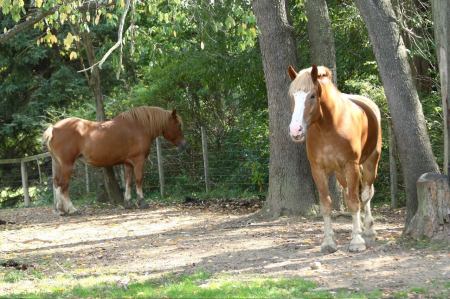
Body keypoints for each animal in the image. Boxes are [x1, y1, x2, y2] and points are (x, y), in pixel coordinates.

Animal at [44, 105, 186, 216]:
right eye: (178, 125)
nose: (184, 144)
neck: (139, 126)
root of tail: (54, 128)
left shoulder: (128, 163)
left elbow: (128, 181)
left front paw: (128, 202)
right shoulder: (138, 161)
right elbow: (139, 179)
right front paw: (142, 201)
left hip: (58, 164)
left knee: (57, 183)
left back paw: (60, 210)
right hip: (67, 165)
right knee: (63, 185)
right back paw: (72, 209)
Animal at [288, 65, 380, 253]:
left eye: (312, 96)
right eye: (292, 96)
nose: (295, 130)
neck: (330, 126)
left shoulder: (351, 166)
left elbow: (354, 202)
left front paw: (357, 241)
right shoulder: (318, 170)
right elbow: (326, 204)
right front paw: (329, 242)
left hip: (370, 162)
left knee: (365, 195)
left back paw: (368, 231)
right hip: (340, 174)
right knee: (350, 193)